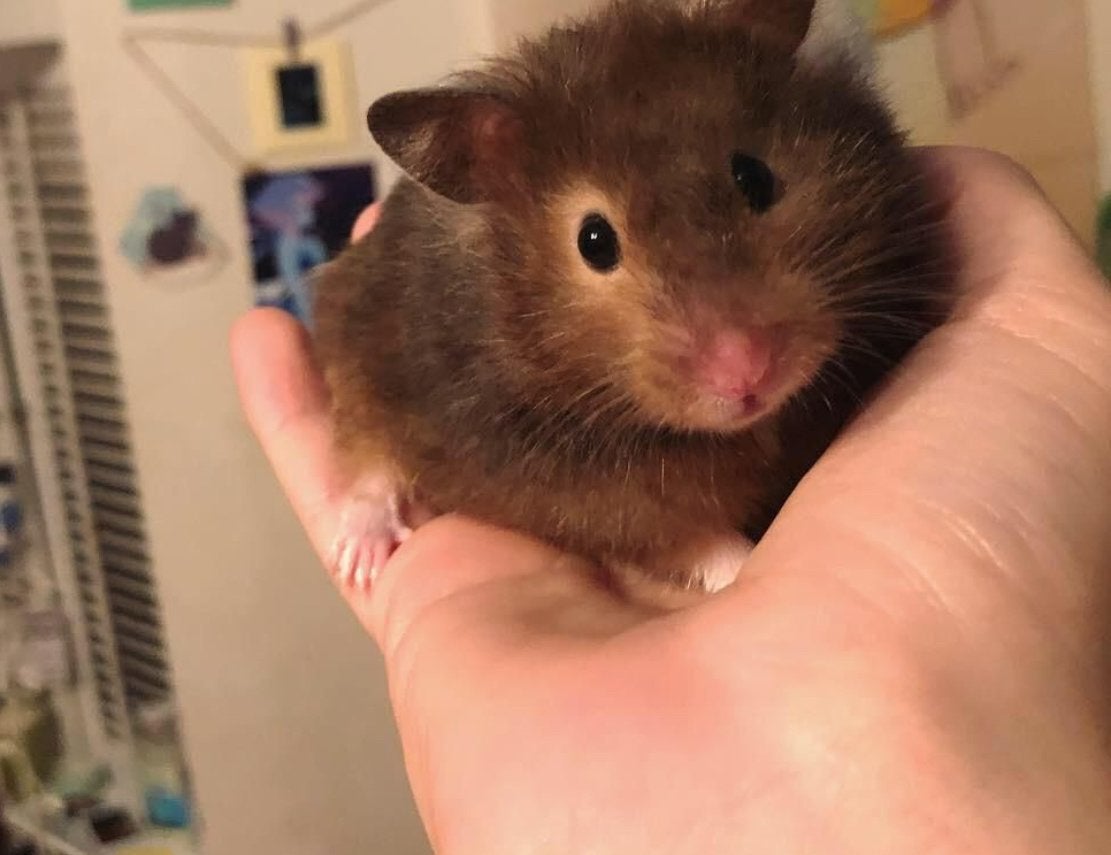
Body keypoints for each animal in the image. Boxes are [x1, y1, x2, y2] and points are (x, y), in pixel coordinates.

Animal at [312, 0, 954, 594]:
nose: (748, 373)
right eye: (593, 241)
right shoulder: (585, 501)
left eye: (756, 177)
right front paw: (742, 569)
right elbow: (693, 542)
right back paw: (360, 559)